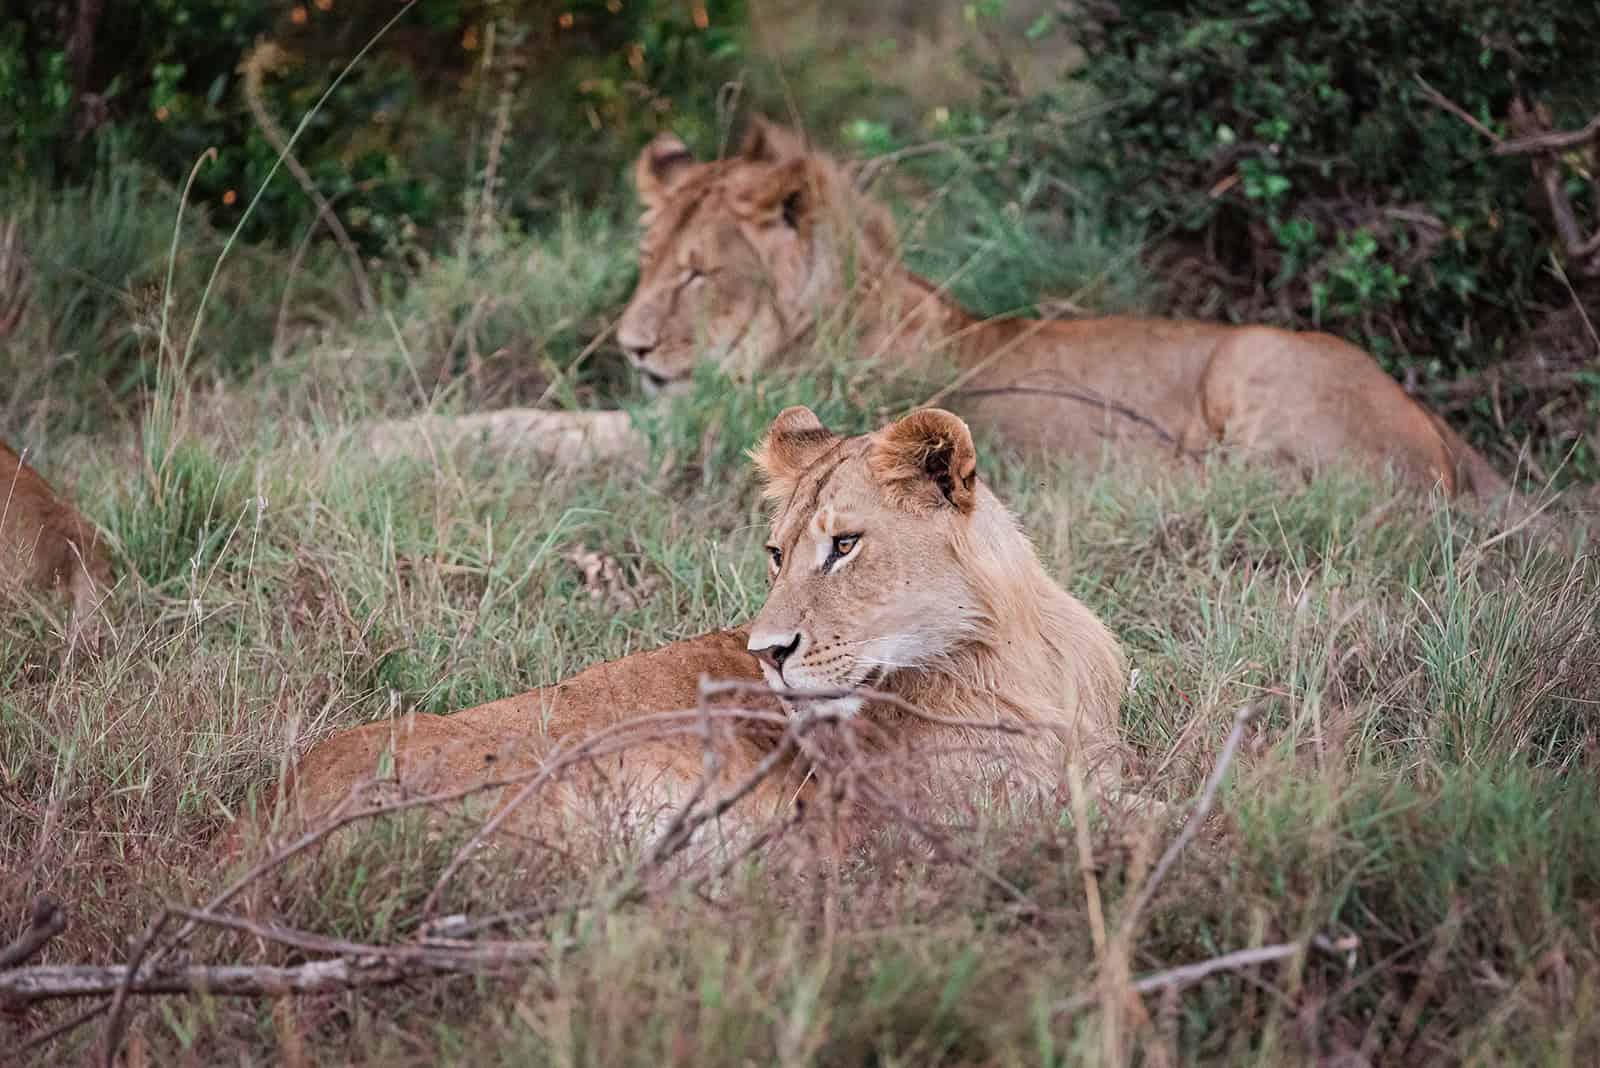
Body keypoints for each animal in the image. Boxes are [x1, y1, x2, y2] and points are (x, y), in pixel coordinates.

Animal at [253, 406, 1127, 848]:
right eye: (776, 553)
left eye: (844, 546)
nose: (766, 655)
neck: (1013, 650)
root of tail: (267, 816)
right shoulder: (955, 817)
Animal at [617, 118, 1507, 499]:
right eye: (648, 262)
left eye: (698, 275)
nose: (629, 348)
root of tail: (1445, 432)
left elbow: (600, 435)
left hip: (1260, 360)